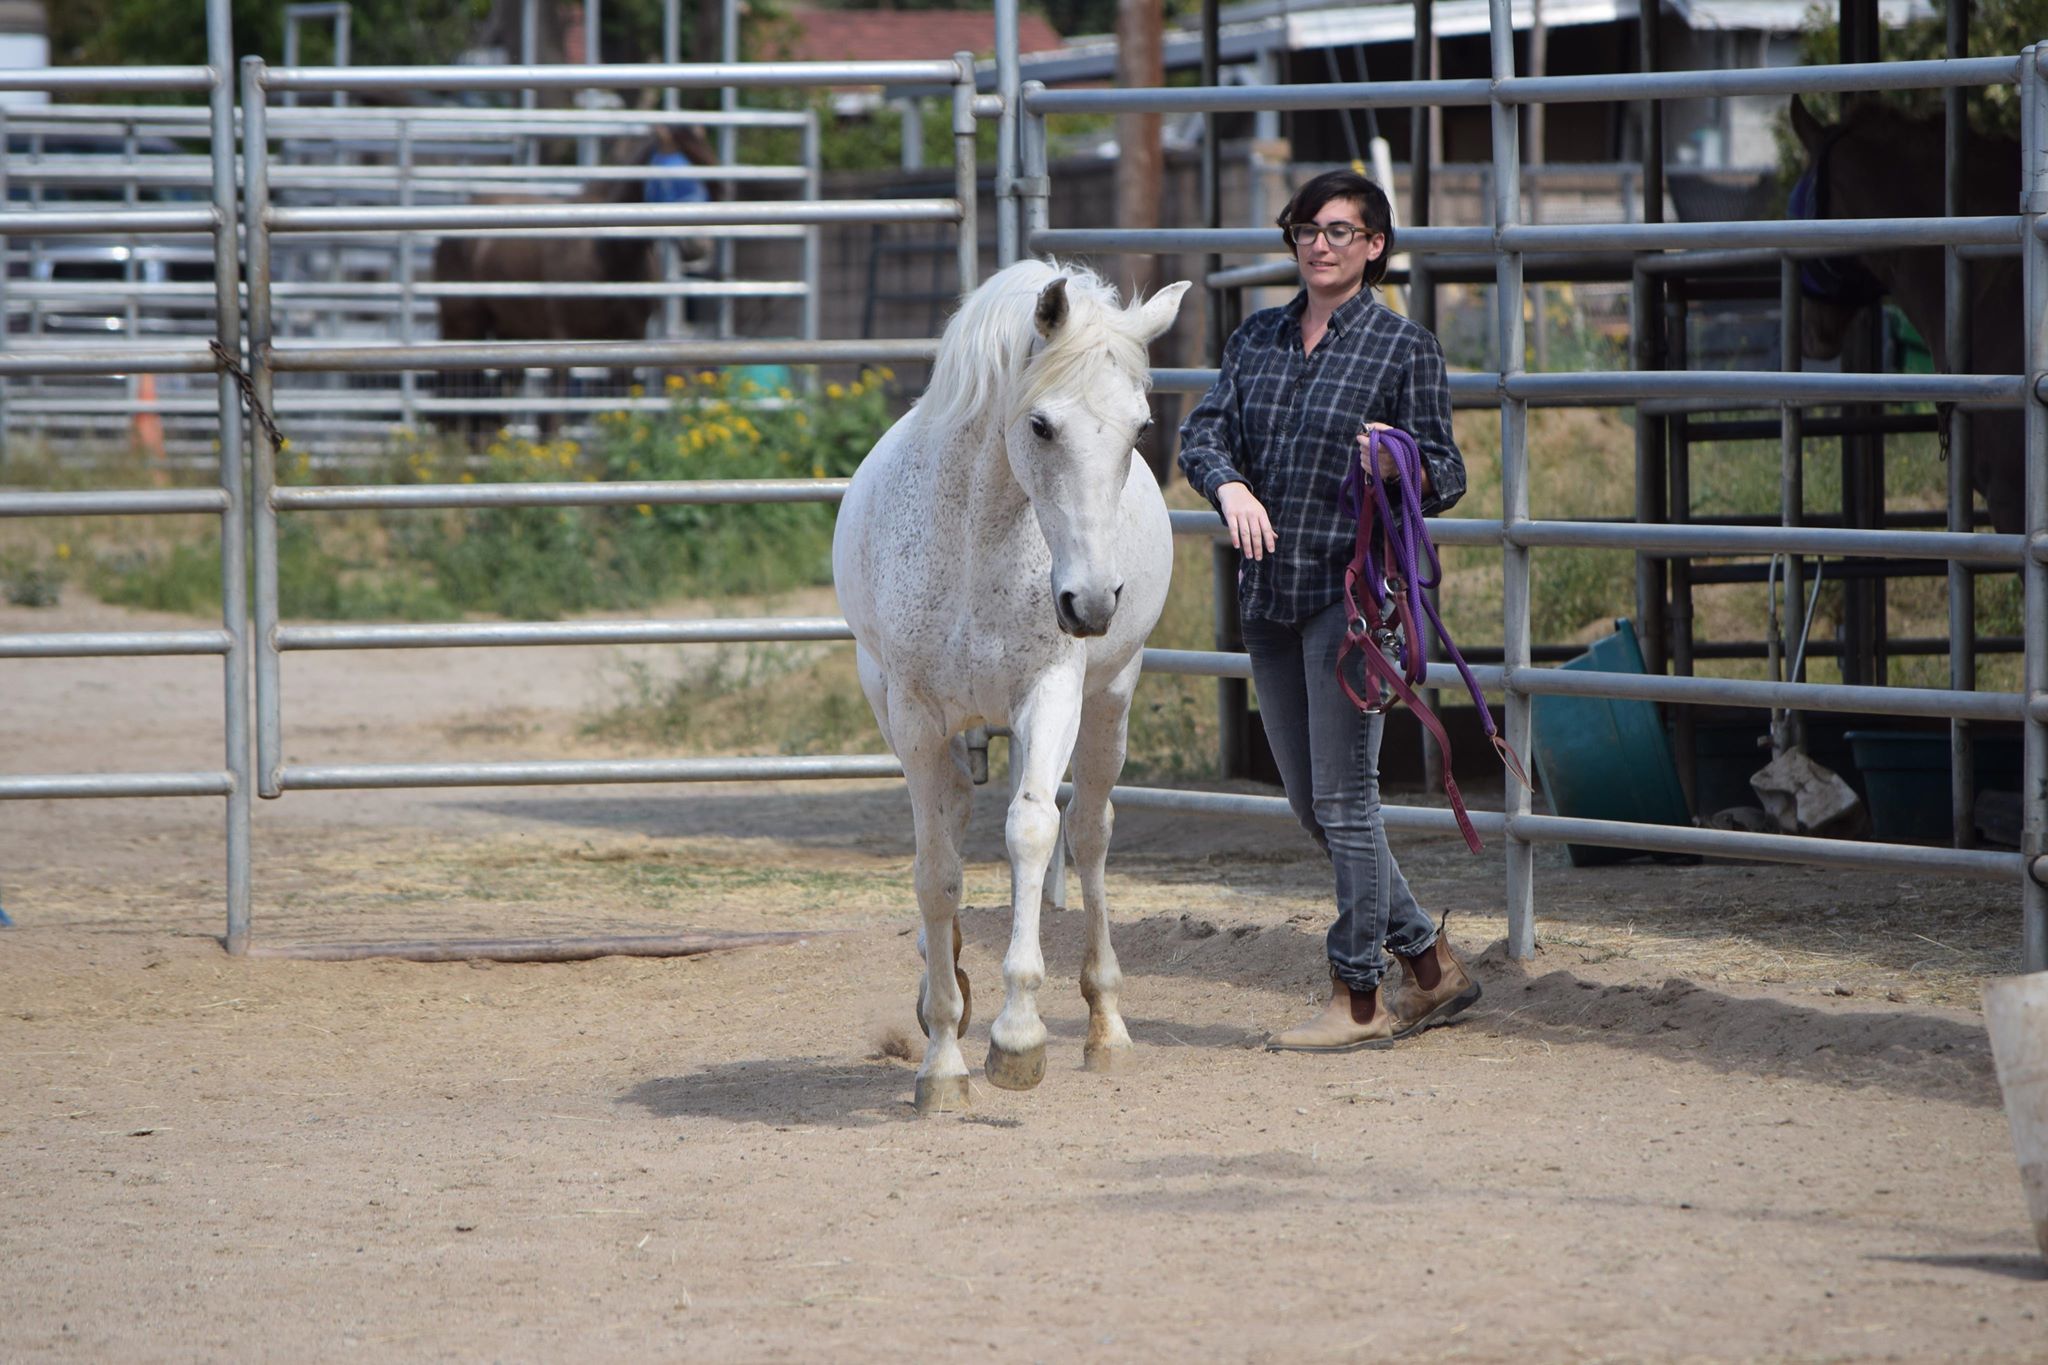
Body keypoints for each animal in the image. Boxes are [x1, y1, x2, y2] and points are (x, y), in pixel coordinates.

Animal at [428, 125, 724, 437]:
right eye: (670, 177)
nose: (698, 245)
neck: (608, 256)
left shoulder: (630, 337)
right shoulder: (563, 338)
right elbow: (554, 415)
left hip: (509, 332)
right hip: (463, 324)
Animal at [827, 261, 1187, 1113]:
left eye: (1140, 429)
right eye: (1042, 425)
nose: (1092, 602)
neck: (975, 544)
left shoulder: (1049, 695)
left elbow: (1030, 831)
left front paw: (1017, 1037)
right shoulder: (915, 714)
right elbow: (936, 867)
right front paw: (942, 1057)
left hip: (1108, 703)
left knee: (1087, 833)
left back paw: (1104, 1026)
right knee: (954, 824)